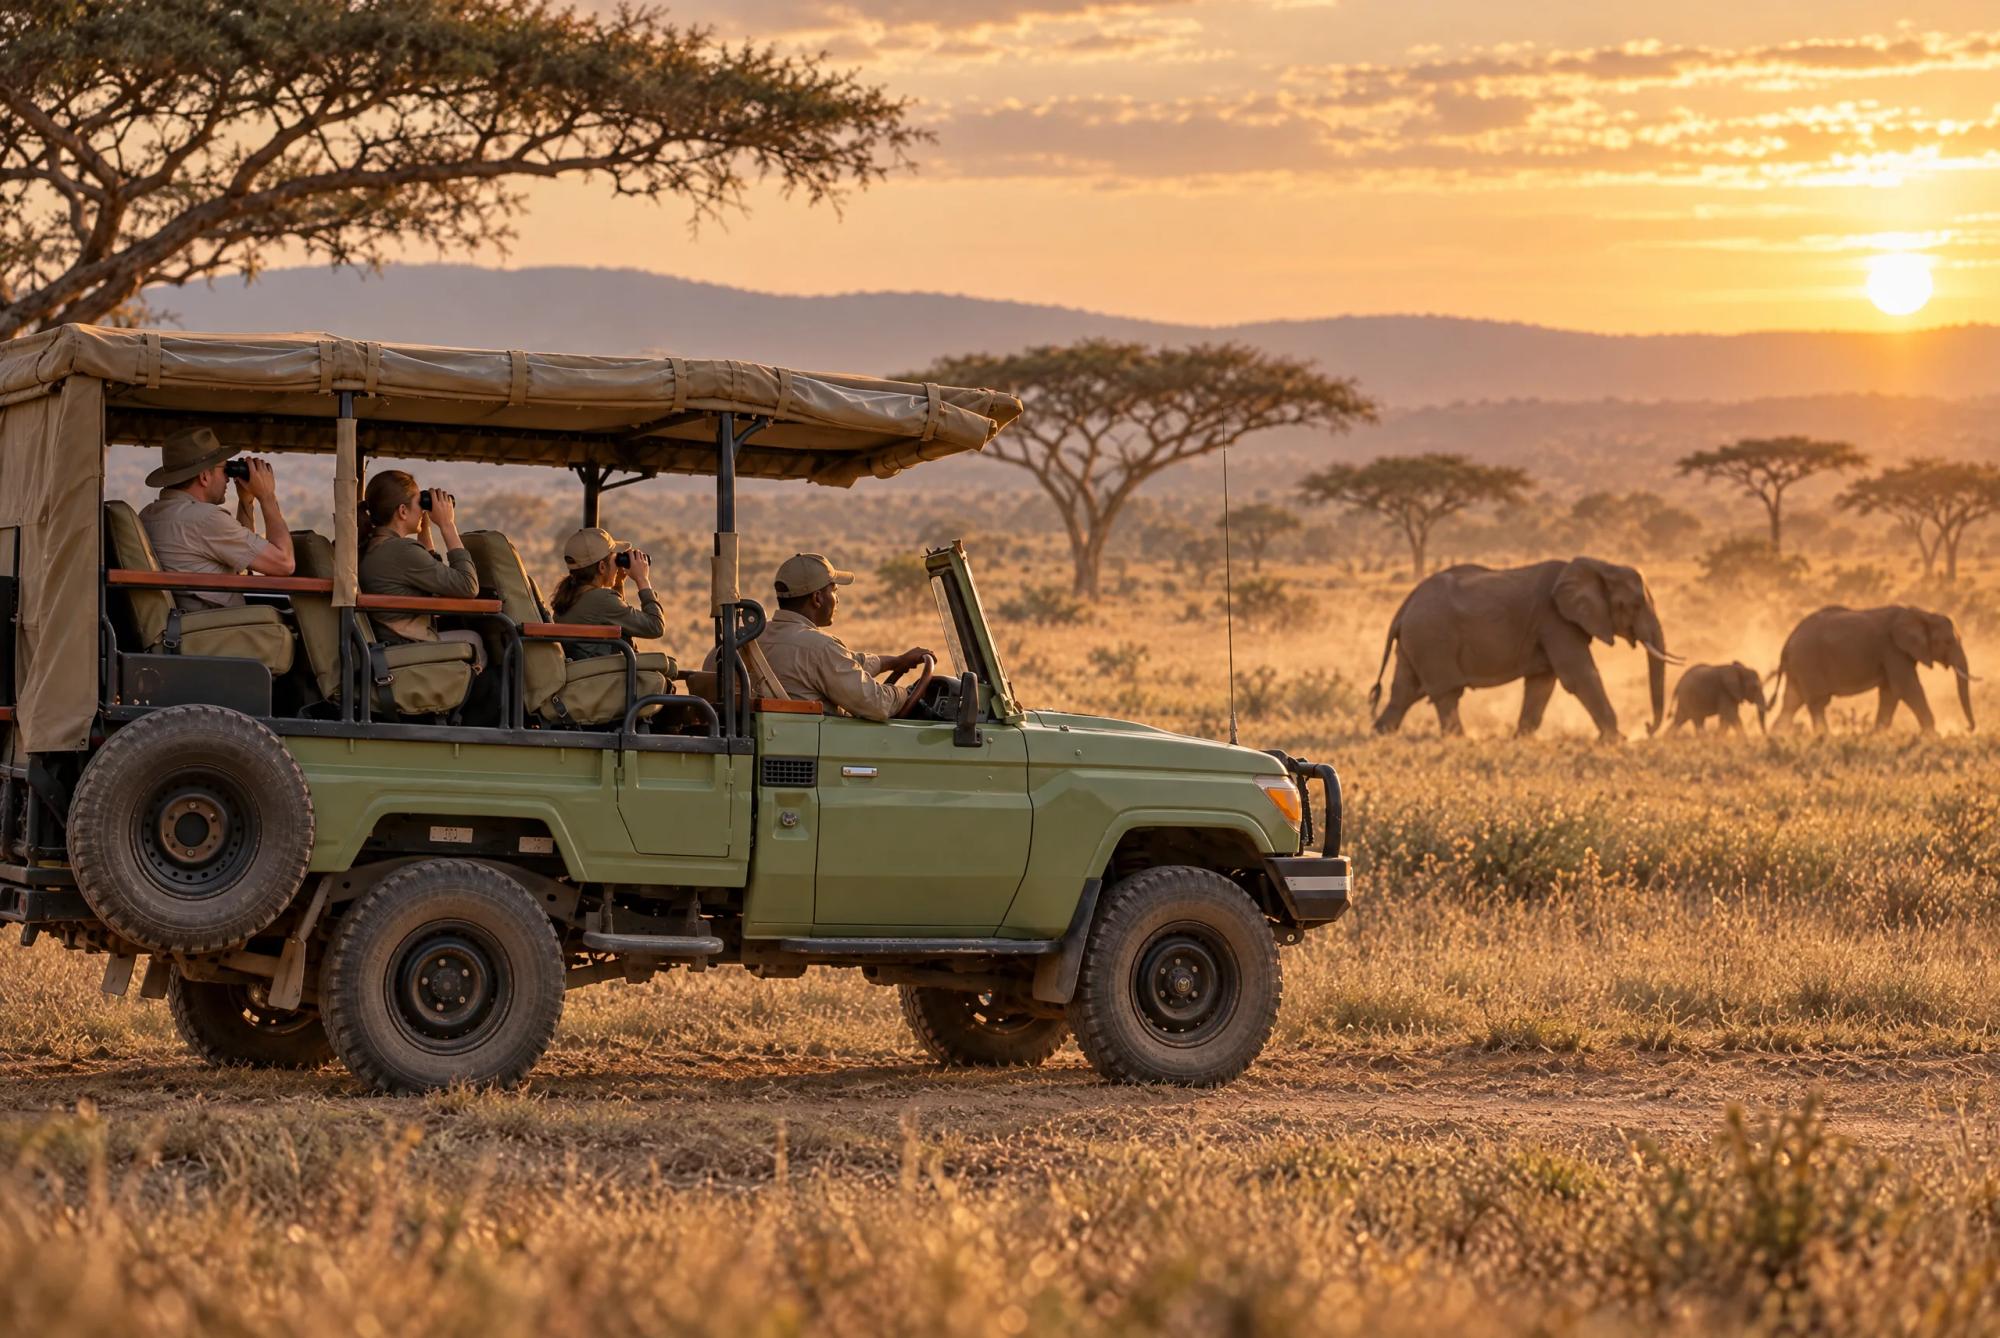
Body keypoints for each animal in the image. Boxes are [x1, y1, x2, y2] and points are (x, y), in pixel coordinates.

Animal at [1366, 556, 1676, 741]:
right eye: (1634, 605)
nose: (1647, 728)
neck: (1600, 565)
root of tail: (1405, 605)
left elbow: (1542, 683)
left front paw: (1522, 739)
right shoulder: (1555, 620)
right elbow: (1579, 676)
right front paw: (1617, 741)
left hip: (1417, 641)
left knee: (1405, 692)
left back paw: (1381, 734)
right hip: (1432, 638)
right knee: (1445, 693)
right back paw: (1461, 740)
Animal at [1769, 605, 1975, 734]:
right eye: (1947, 642)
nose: (1968, 728)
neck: (1921, 613)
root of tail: (1787, 643)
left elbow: (1890, 692)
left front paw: (1877, 735)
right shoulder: (1892, 649)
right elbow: (1907, 688)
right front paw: (1934, 736)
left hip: (1798, 668)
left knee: (1792, 701)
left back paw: (1776, 737)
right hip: (1808, 662)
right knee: (1817, 702)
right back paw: (1825, 737)